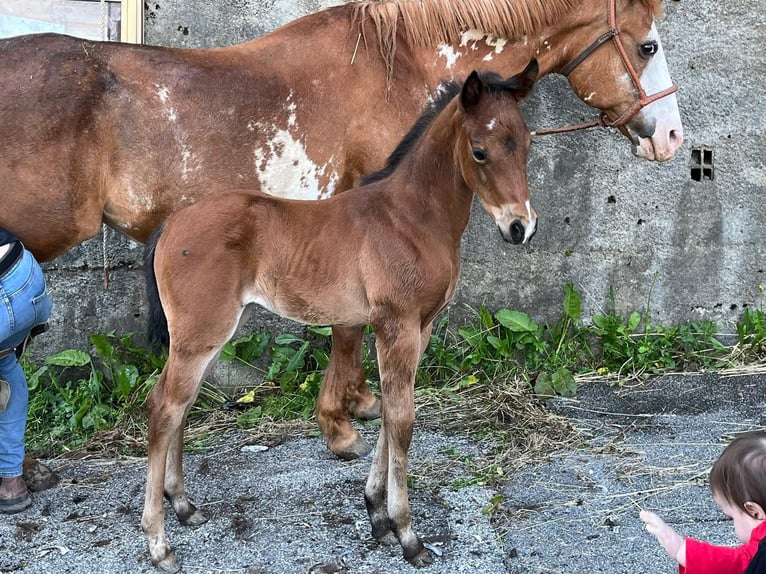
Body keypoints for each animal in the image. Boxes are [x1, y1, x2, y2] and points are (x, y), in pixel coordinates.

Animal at [0, 0, 683, 461]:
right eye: (647, 45)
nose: (673, 137)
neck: (395, 64)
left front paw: (351, 406)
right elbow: (349, 331)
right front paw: (343, 421)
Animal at [141, 63, 537, 572]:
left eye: (525, 143)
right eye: (480, 151)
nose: (520, 227)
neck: (410, 218)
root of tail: (172, 223)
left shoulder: (420, 328)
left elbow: (390, 412)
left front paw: (377, 514)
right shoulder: (396, 326)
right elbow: (402, 418)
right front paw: (407, 534)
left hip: (209, 335)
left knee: (181, 407)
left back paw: (184, 506)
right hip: (201, 334)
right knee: (163, 409)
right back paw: (159, 543)